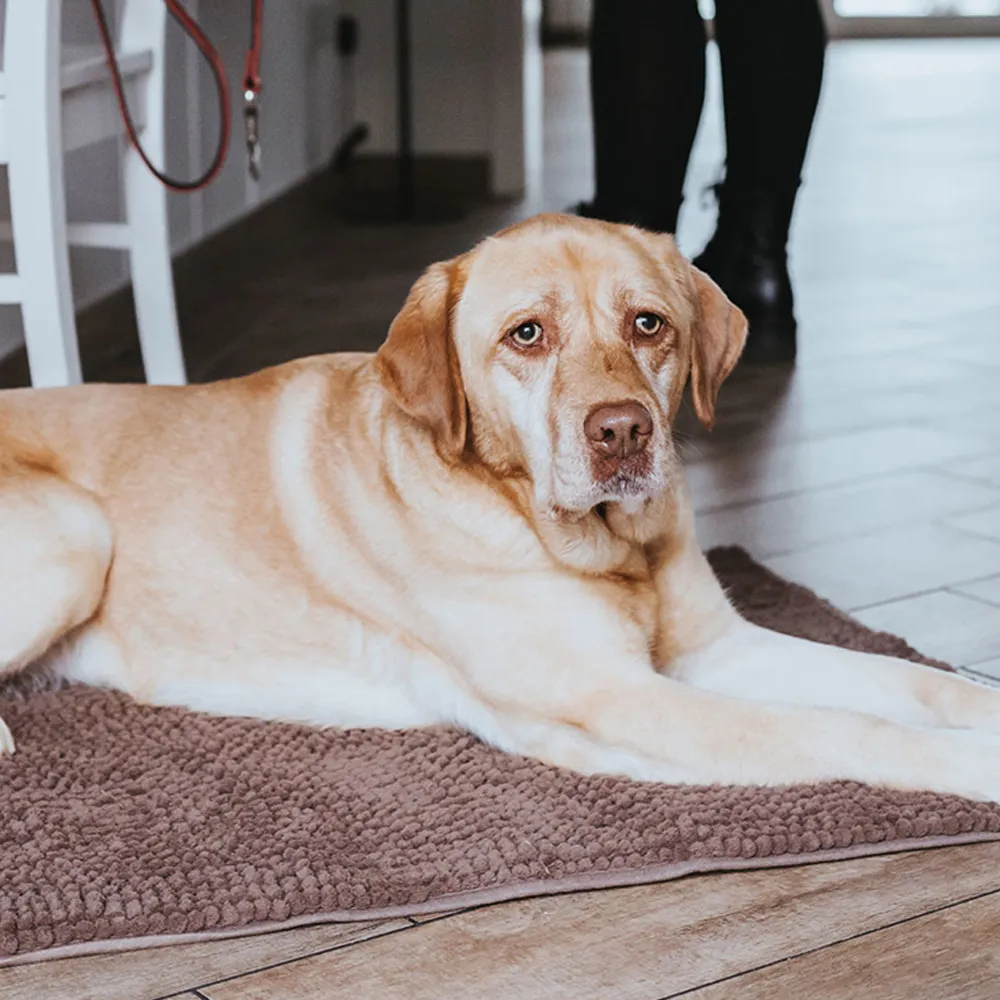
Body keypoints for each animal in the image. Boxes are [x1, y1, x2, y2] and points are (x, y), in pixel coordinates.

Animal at [1, 215, 1000, 800]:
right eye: (528, 335)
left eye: (648, 324)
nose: (623, 432)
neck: (601, 545)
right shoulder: (614, 699)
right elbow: (848, 726)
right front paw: (972, 766)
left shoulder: (720, 650)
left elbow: (917, 683)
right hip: (76, 531)